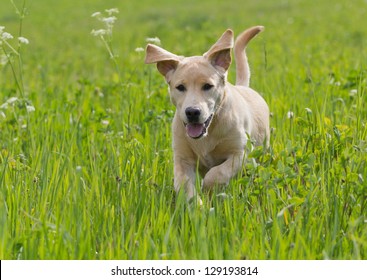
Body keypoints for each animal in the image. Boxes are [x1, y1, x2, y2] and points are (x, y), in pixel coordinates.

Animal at [146, 26, 270, 201]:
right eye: (180, 87)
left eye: (207, 86)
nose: (192, 112)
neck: (208, 132)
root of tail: (243, 87)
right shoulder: (182, 159)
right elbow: (184, 185)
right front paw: (196, 204)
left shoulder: (240, 152)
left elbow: (218, 172)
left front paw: (208, 190)